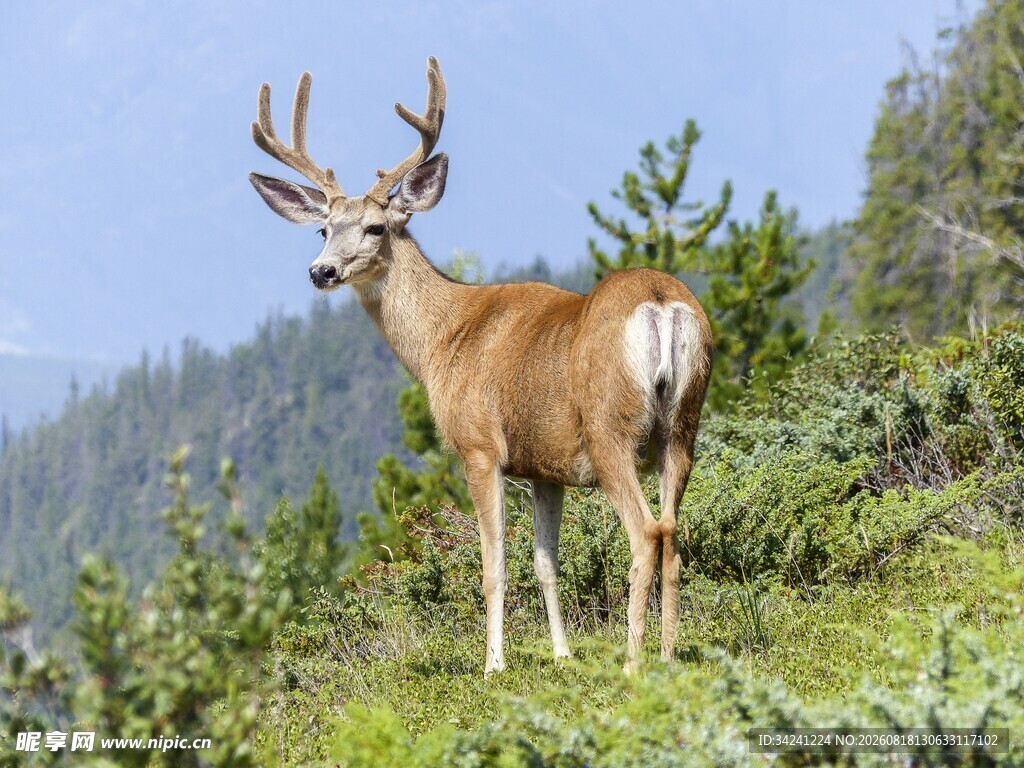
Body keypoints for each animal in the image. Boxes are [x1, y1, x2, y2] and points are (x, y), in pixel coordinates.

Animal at [248, 57, 713, 675]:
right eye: (324, 229)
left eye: (375, 227)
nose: (320, 271)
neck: (443, 341)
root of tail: (661, 305)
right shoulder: (545, 466)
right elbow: (545, 563)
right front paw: (561, 654)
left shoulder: (479, 445)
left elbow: (494, 565)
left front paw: (494, 664)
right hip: (682, 425)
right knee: (674, 532)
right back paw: (668, 654)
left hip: (610, 427)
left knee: (647, 532)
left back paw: (634, 662)